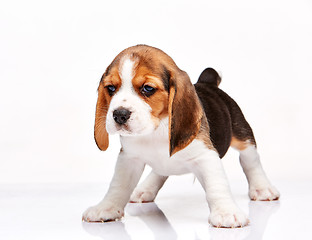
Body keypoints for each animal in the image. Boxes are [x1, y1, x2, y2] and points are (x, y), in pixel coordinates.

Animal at [81, 45, 280, 229]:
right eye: (111, 88)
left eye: (147, 88)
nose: (119, 115)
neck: (155, 132)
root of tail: (207, 83)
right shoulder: (129, 158)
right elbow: (118, 185)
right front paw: (106, 208)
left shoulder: (206, 155)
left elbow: (217, 185)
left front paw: (226, 212)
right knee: (160, 171)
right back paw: (146, 189)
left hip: (242, 133)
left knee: (250, 160)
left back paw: (262, 188)